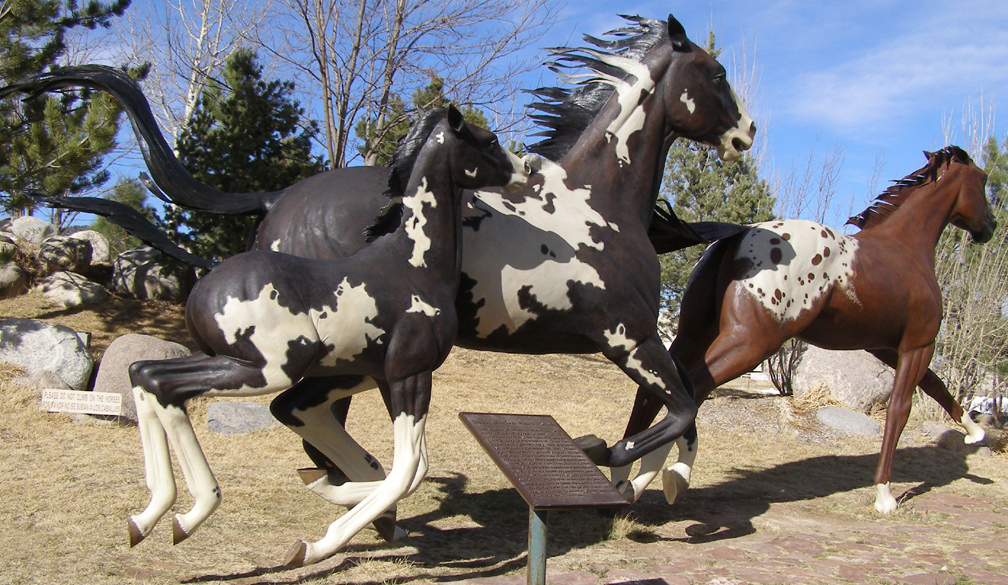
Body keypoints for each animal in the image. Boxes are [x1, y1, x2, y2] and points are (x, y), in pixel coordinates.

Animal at [5, 14, 756, 512]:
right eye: (715, 73)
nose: (746, 133)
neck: (595, 201)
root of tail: (277, 198)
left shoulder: (634, 344)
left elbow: (674, 410)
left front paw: (641, 481)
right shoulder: (627, 336)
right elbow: (681, 410)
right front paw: (621, 465)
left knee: (305, 421)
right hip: (332, 358)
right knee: (303, 417)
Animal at [125, 105, 532, 567]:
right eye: (489, 140)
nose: (527, 168)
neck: (413, 265)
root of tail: (200, 291)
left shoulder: (375, 376)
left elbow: (391, 467)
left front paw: (339, 496)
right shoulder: (410, 372)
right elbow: (408, 469)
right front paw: (314, 545)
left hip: (231, 361)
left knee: (144, 373)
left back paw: (148, 517)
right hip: (265, 369)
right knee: (164, 385)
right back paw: (192, 513)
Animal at [615, 146, 995, 514]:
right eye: (982, 181)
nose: (989, 226)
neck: (906, 248)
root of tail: (738, 236)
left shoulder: (888, 346)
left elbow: (935, 385)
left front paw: (975, 432)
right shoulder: (918, 344)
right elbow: (902, 408)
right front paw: (885, 495)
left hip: (695, 334)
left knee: (653, 390)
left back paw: (623, 481)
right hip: (751, 342)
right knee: (690, 393)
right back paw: (667, 476)